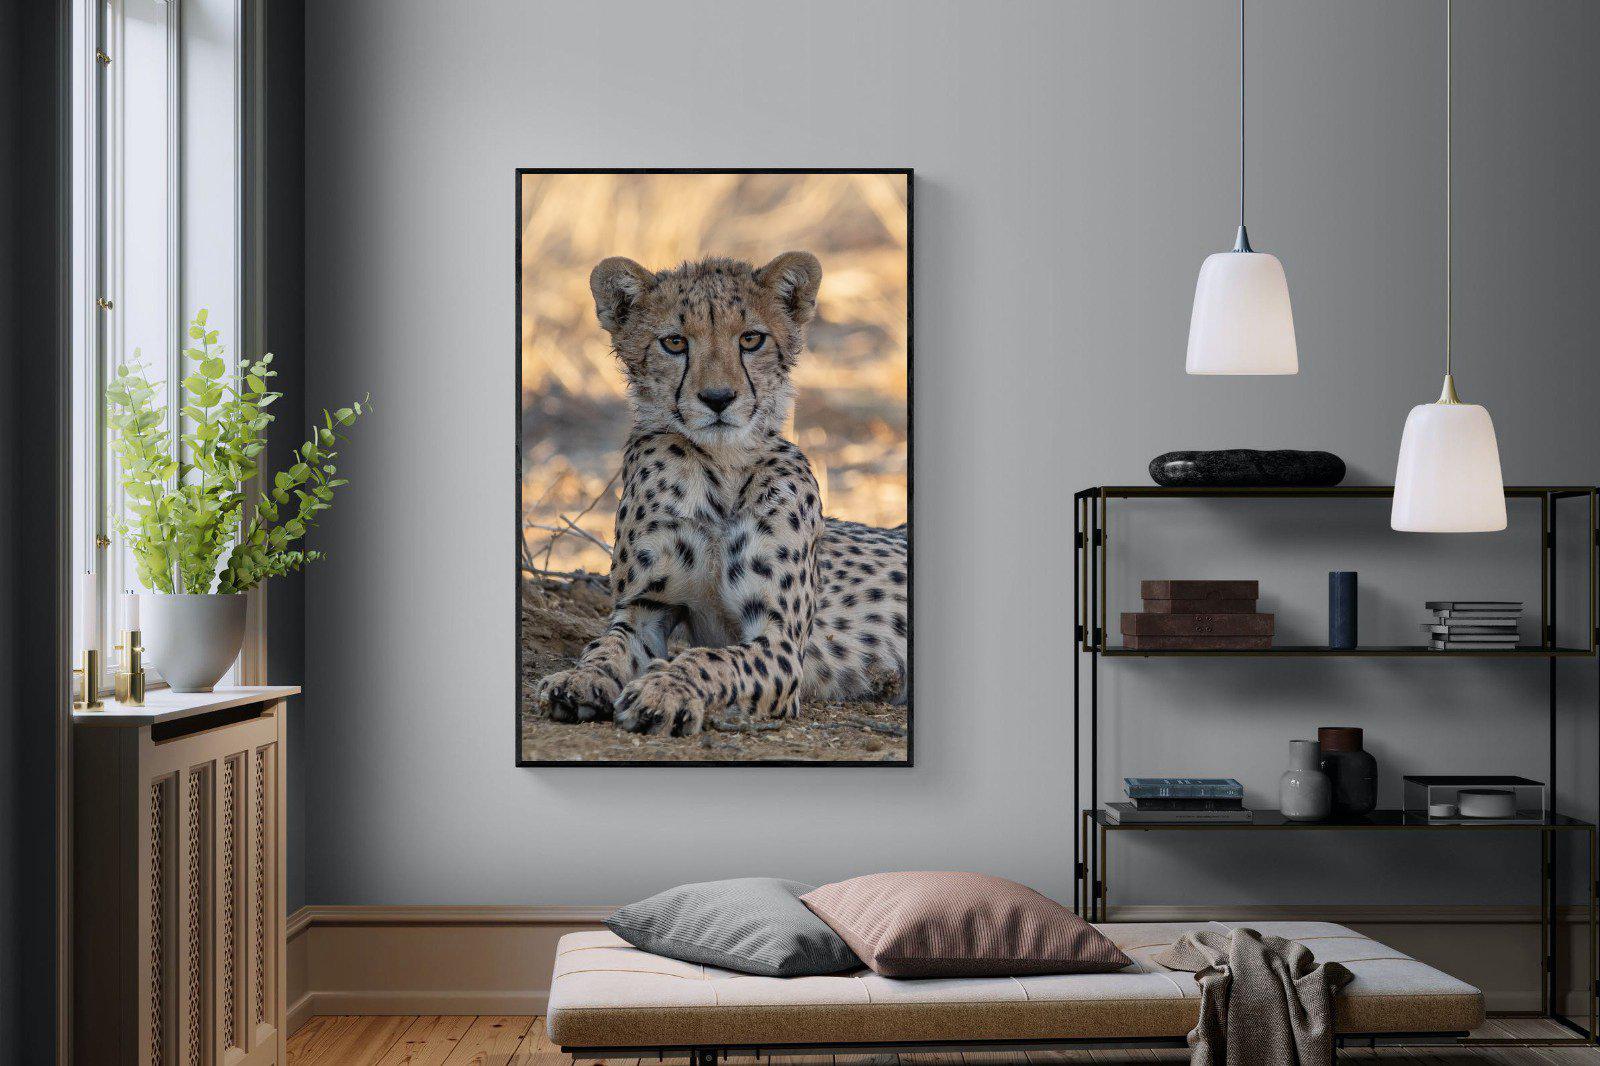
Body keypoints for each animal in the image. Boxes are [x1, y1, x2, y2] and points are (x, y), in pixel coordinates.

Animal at [532, 251, 909, 737]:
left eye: (751, 339)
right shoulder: (645, 609)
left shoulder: (779, 641)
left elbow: (711, 659)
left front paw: (664, 690)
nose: (717, 398)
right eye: (675, 343)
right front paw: (579, 679)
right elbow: (605, 646)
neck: (721, 468)